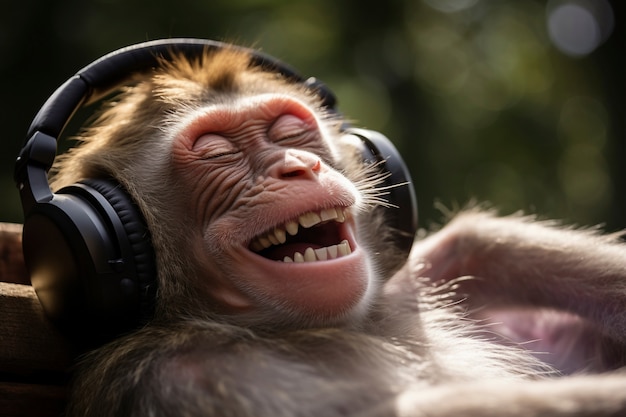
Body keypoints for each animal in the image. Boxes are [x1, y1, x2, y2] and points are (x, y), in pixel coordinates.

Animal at [19, 43, 624, 416]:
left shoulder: (419, 273)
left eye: (290, 130)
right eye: (216, 151)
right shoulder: (173, 378)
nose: (297, 166)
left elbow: (477, 245)